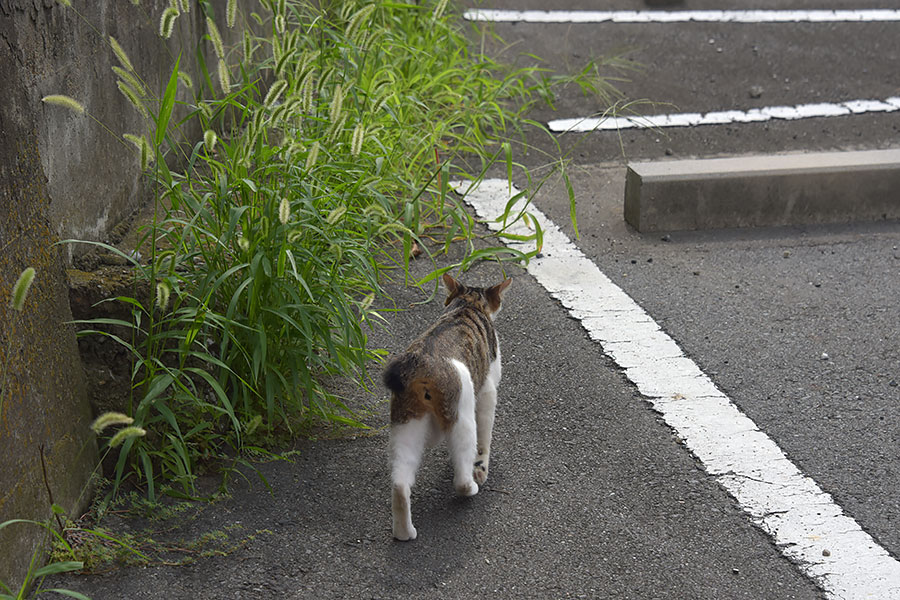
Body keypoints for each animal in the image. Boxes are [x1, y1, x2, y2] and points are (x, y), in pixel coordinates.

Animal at [382, 274, 512, 540]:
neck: (467, 304)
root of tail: (421, 363)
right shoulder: (488, 390)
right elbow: (484, 439)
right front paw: (481, 467)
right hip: (462, 415)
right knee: (461, 477)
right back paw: (470, 486)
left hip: (406, 422)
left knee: (400, 482)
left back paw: (404, 532)